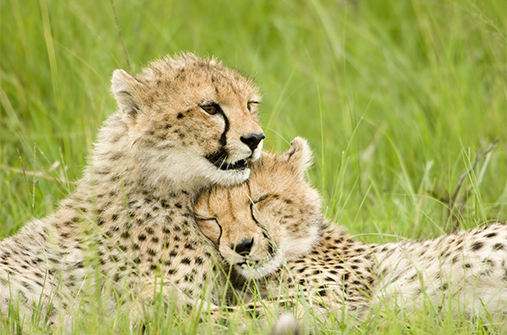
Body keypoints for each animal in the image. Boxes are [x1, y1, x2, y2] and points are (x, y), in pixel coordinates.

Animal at [194, 137, 507, 328]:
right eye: (211, 219)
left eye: (258, 200)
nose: (242, 246)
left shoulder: (331, 304)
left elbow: (237, 313)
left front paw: (181, 305)